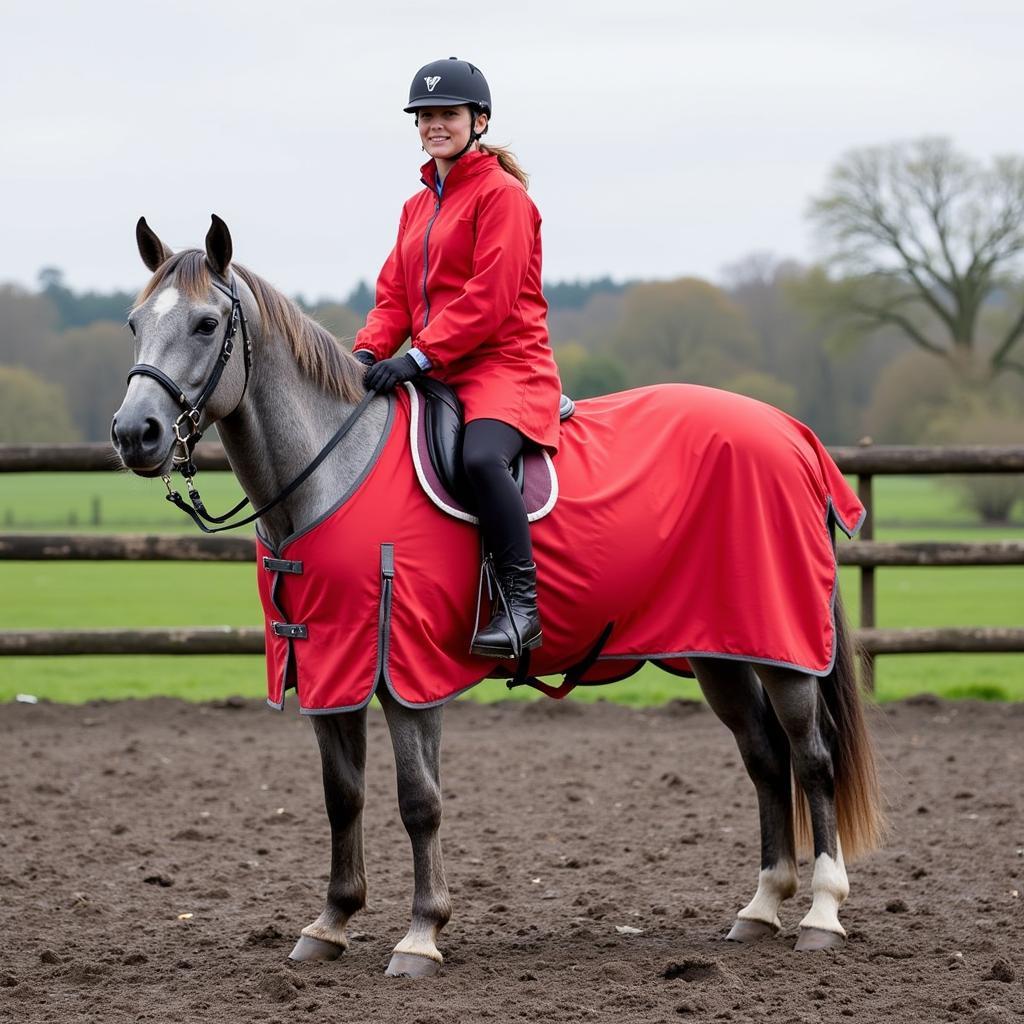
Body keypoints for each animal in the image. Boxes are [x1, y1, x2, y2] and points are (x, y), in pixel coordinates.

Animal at [110, 216, 880, 974]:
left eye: (207, 323)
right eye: (135, 322)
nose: (133, 433)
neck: (333, 470)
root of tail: (793, 433)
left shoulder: (405, 671)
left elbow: (419, 801)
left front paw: (422, 932)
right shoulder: (332, 666)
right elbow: (342, 796)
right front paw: (331, 922)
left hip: (784, 649)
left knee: (812, 758)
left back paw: (822, 911)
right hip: (721, 649)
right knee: (765, 756)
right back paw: (761, 906)